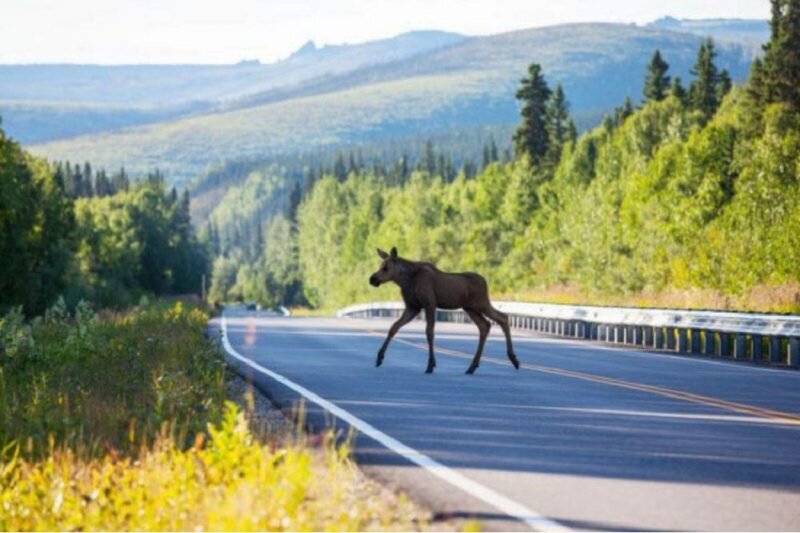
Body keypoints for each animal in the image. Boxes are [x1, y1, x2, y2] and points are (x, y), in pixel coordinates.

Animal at [368, 246, 520, 374]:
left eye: (386, 268)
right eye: (380, 266)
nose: (372, 279)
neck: (405, 281)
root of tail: (485, 282)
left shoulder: (429, 304)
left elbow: (429, 333)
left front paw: (430, 365)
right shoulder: (413, 307)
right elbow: (394, 327)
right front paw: (379, 358)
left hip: (481, 303)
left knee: (502, 317)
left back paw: (514, 360)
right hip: (470, 308)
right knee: (485, 325)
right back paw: (472, 366)